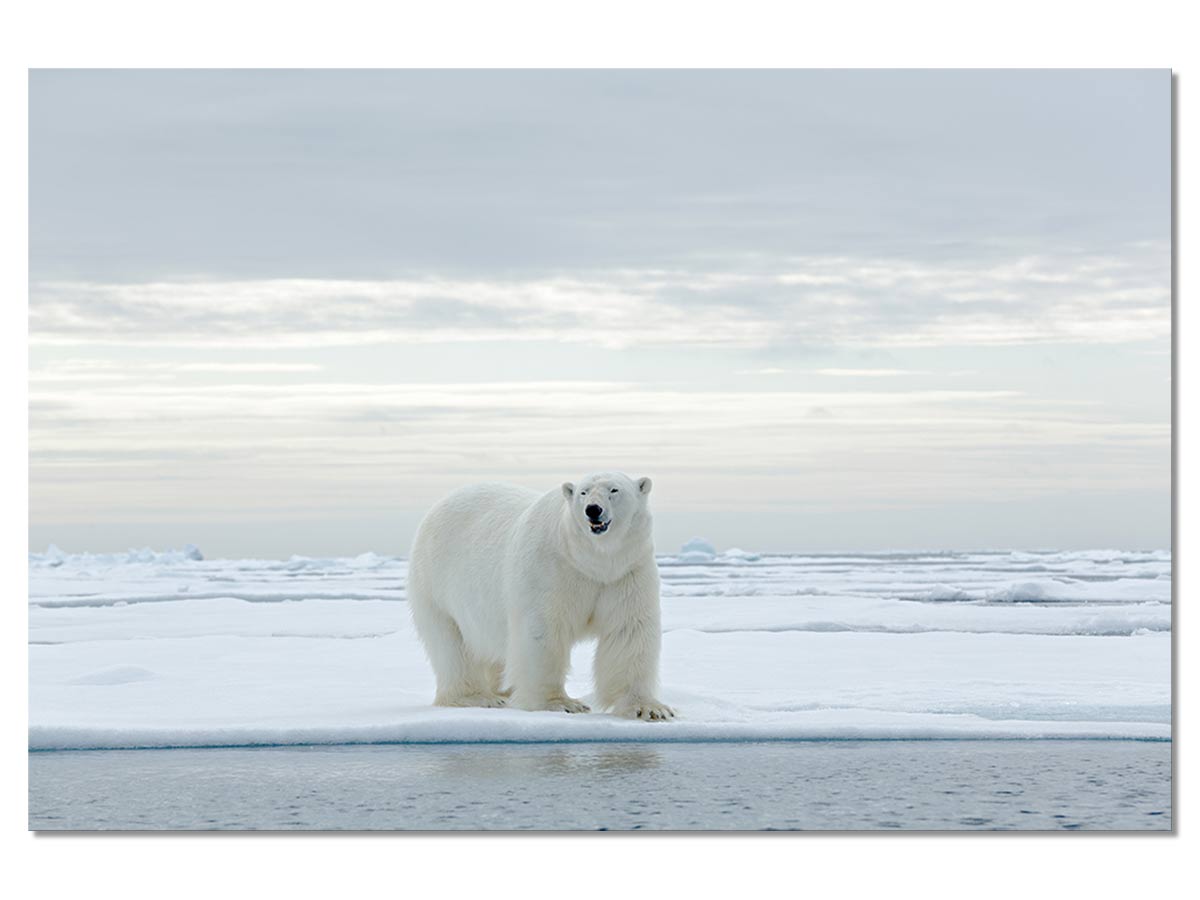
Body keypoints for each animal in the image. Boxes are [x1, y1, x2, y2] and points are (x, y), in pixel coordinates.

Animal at [408, 475, 676, 724]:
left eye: (614, 489)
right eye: (583, 492)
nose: (593, 509)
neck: (591, 561)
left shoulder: (625, 573)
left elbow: (628, 630)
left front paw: (649, 708)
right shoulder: (550, 568)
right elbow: (543, 631)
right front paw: (561, 704)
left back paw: (503, 692)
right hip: (436, 585)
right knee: (452, 646)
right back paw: (478, 697)